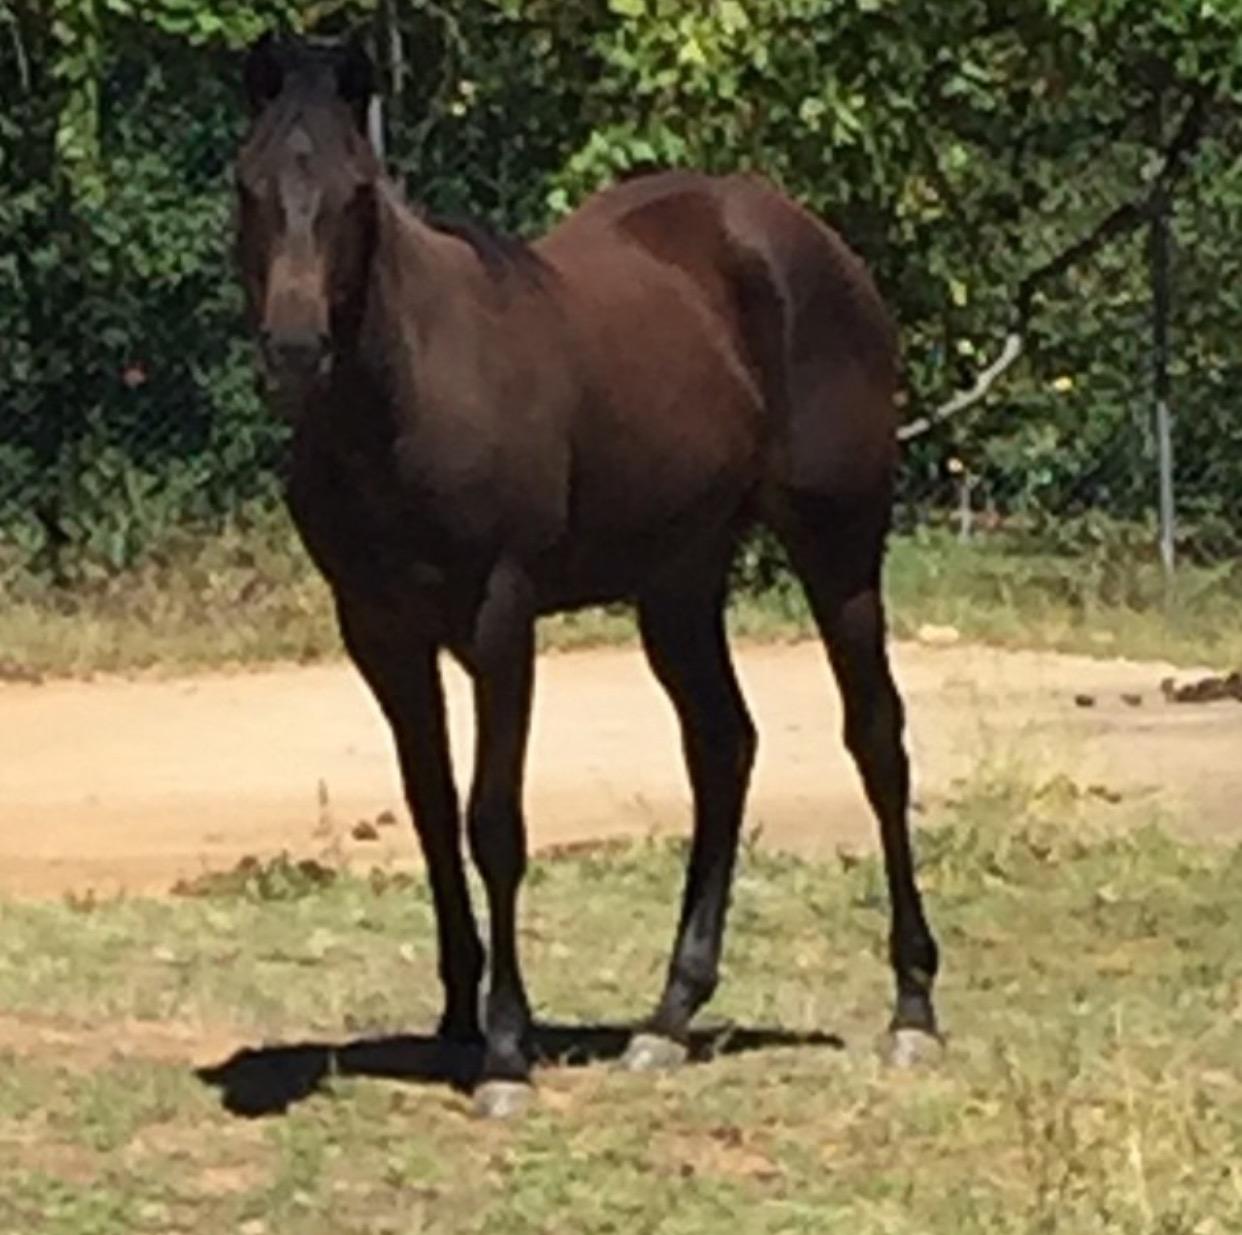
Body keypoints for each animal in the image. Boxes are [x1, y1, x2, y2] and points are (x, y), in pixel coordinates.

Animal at [233, 32, 941, 1118]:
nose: (296, 348)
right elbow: (430, 809)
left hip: (840, 548)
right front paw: (455, 1017)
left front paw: (505, 1053)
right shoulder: (380, 629)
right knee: (723, 746)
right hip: (680, 582)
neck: (404, 395)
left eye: (355, 191)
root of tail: (814, 244)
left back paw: (912, 1007)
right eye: (251, 184)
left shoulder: (499, 617)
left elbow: (493, 820)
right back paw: (669, 1016)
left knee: (876, 739)